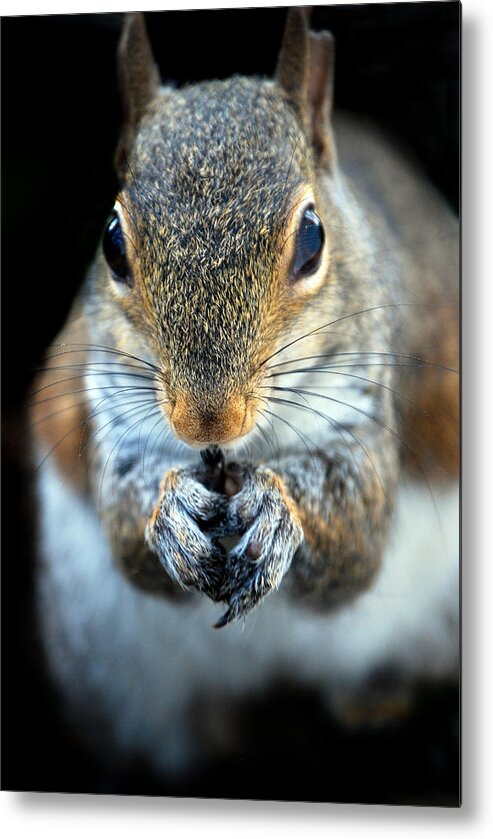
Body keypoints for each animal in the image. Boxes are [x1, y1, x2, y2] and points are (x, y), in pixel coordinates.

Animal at [29, 9, 458, 776]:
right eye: (112, 242)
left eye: (313, 239)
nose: (207, 422)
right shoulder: (111, 403)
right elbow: (126, 523)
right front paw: (169, 512)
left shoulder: (365, 401)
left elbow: (354, 538)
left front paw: (279, 509)